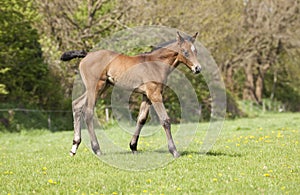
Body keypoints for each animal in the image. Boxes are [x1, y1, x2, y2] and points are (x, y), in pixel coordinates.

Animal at [61, 31, 202, 158]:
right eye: (185, 51)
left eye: (196, 51)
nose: (197, 68)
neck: (155, 64)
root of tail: (87, 54)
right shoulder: (155, 94)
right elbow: (165, 120)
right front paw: (174, 151)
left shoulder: (147, 96)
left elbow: (141, 119)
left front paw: (133, 147)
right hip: (95, 87)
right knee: (88, 112)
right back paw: (97, 149)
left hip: (101, 87)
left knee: (77, 104)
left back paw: (74, 147)